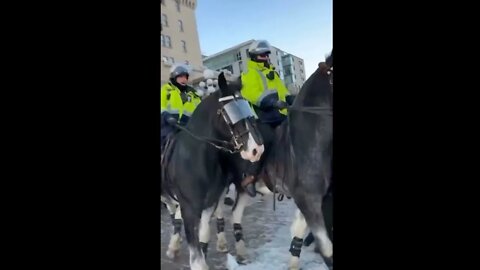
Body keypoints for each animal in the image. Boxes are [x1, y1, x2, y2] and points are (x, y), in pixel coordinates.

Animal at [162, 72, 266, 270]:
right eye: (230, 112)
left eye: (245, 107)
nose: (256, 149)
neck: (196, 159)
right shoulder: (189, 209)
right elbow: (196, 254)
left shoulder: (208, 204)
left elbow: (203, 238)